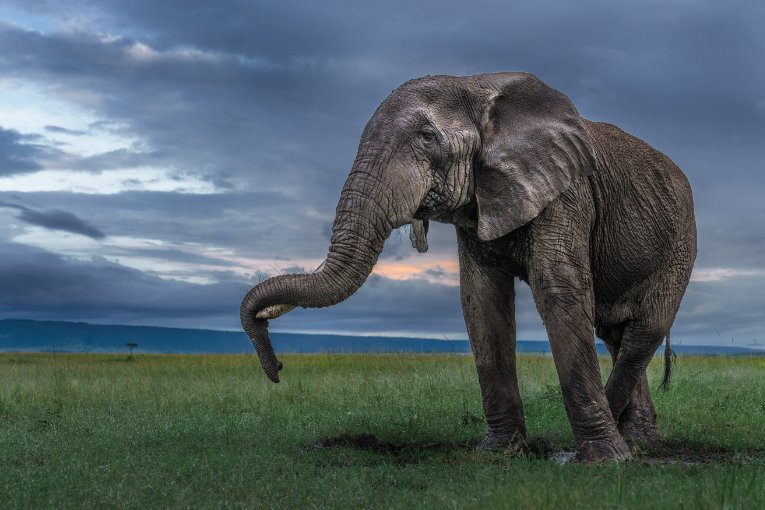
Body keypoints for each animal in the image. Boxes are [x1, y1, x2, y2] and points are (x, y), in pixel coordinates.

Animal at [242, 71, 696, 462]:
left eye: (427, 138)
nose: (278, 370)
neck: (475, 85)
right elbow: (481, 301)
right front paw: (499, 454)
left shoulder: (566, 192)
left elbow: (559, 291)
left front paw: (603, 461)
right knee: (618, 334)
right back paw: (640, 442)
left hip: (680, 244)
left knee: (644, 329)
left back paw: (621, 442)